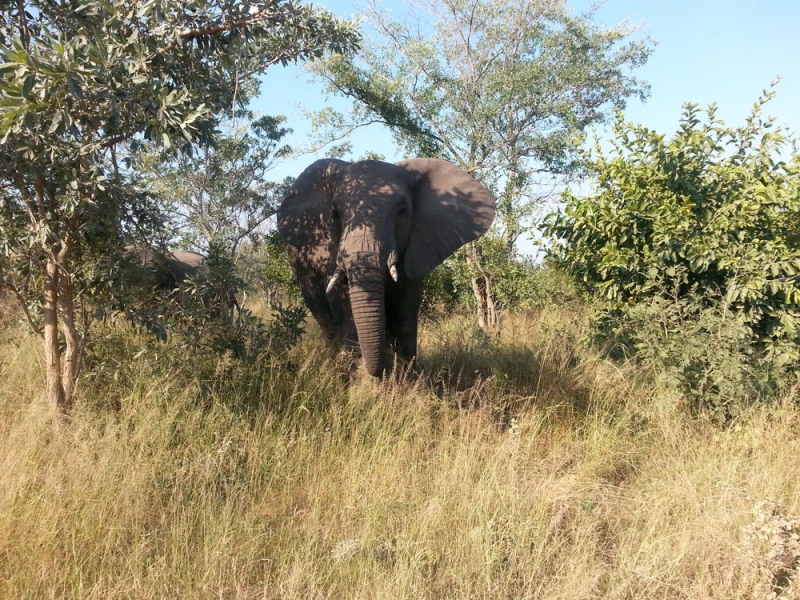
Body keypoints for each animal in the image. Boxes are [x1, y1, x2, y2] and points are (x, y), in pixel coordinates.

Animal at [278, 157, 496, 378]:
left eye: (402, 212)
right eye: (335, 213)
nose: (384, 367)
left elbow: (405, 309)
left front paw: (406, 378)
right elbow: (346, 307)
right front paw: (359, 381)